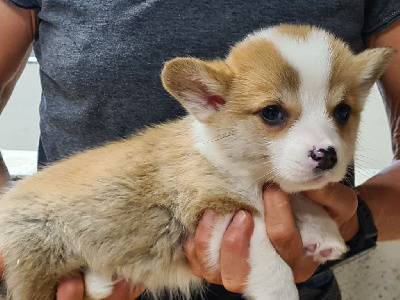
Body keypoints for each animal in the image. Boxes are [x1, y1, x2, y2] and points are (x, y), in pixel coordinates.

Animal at [0, 24, 394, 298]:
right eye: (272, 113)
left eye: (342, 112)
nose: (326, 156)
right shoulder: (217, 210)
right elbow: (267, 254)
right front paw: (280, 290)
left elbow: (296, 198)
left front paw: (321, 230)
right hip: (35, 257)